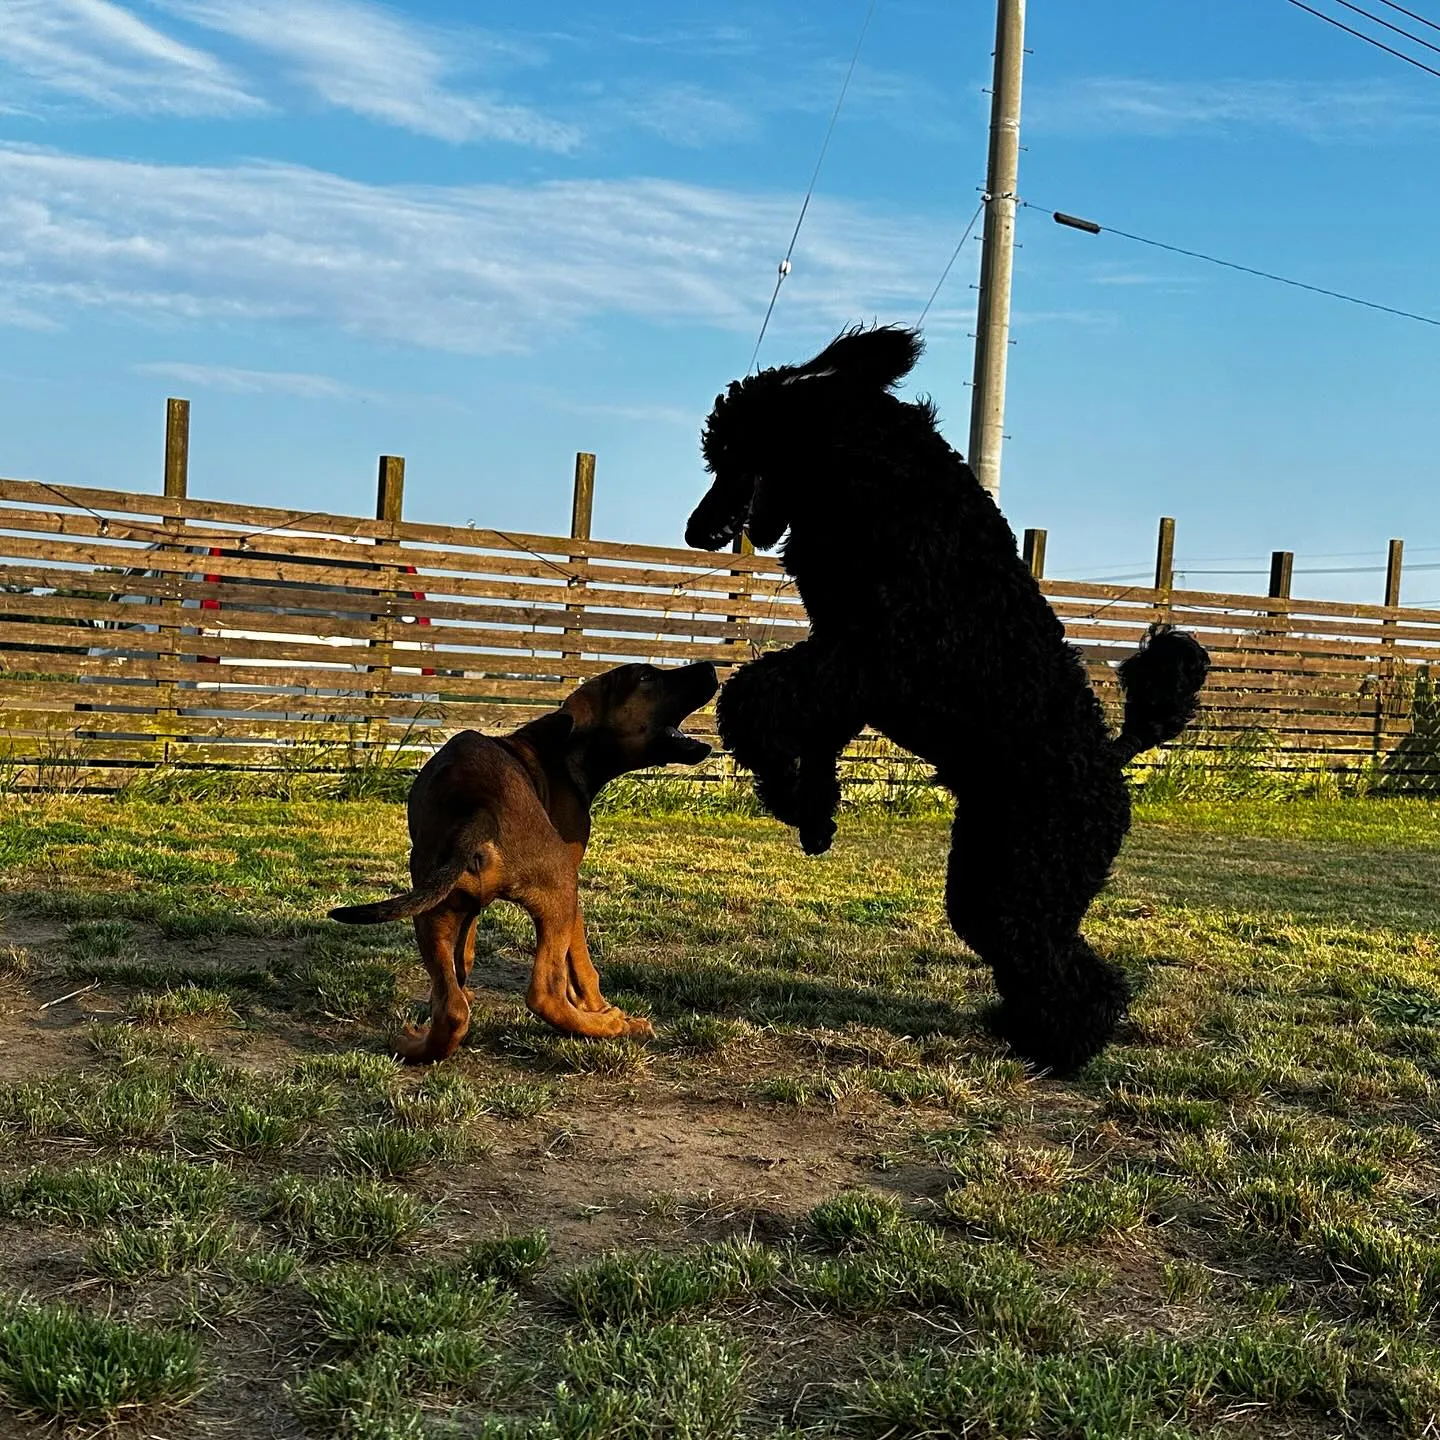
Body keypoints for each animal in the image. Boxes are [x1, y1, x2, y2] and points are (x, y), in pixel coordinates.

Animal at [329, 659, 717, 1059]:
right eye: (646, 676)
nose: (710, 667)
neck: (565, 752)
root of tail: (479, 807)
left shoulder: (467, 908)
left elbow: (464, 956)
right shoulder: (571, 886)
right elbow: (582, 965)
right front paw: (604, 1010)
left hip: (431, 906)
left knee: (452, 1009)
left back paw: (413, 1042)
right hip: (561, 888)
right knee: (544, 993)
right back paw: (614, 1027)